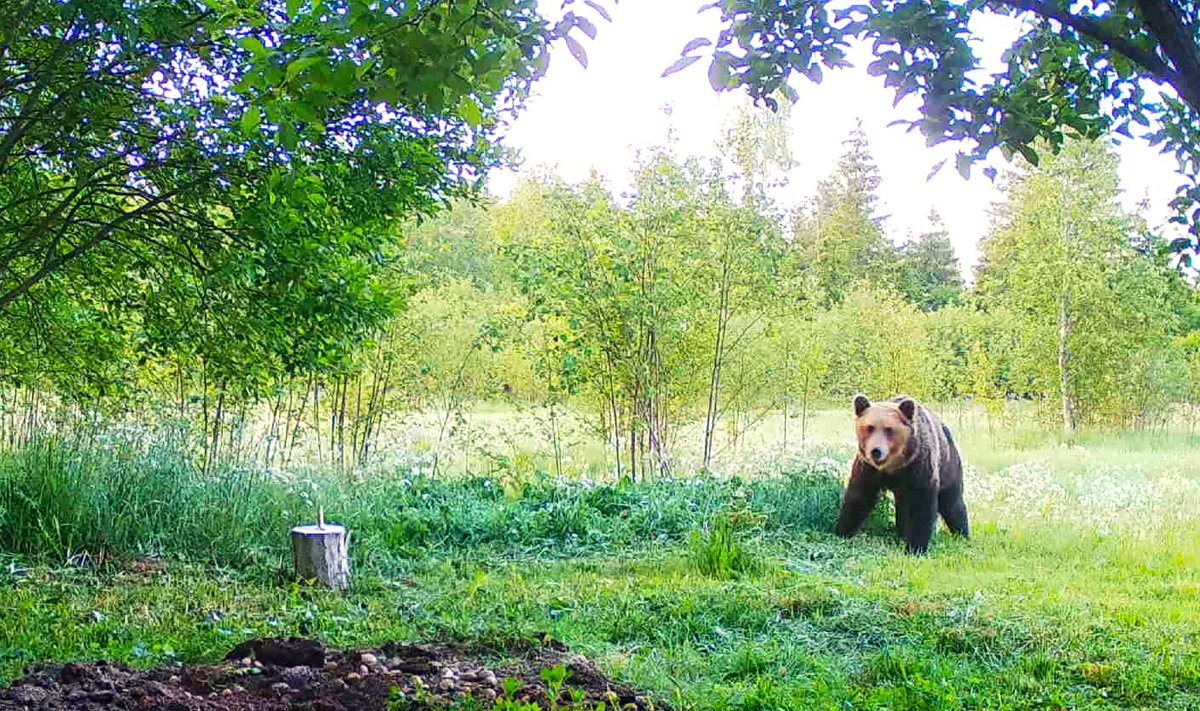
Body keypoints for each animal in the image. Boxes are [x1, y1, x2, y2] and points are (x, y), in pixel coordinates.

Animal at [840, 393, 969, 554]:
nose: (876, 451)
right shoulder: (868, 468)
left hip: (948, 466)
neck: (894, 466)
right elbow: (859, 496)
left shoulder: (919, 466)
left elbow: (922, 506)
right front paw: (842, 531)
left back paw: (962, 535)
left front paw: (916, 547)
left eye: (889, 429)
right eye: (870, 427)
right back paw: (901, 533)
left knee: (952, 503)